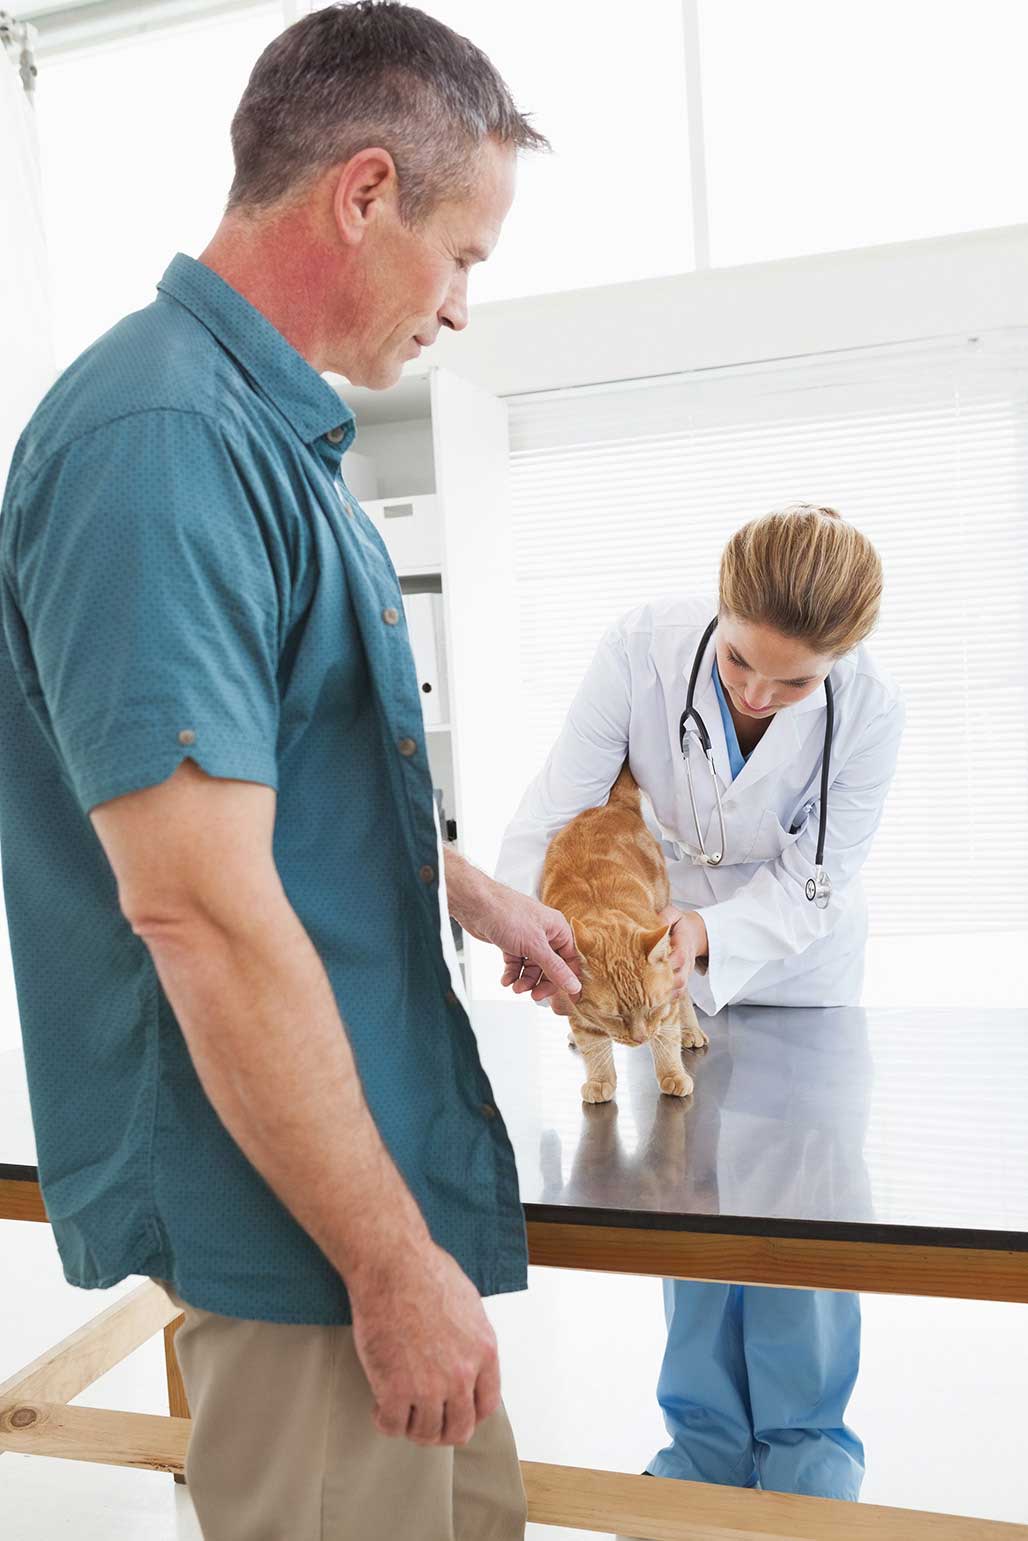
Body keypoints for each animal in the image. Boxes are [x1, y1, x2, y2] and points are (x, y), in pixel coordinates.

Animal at [539, 764, 708, 1103]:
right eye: (616, 1017)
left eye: (652, 1008)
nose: (640, 1038)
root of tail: (614, 806)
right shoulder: (576, 1005)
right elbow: (593, 1045)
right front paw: (600, 1079)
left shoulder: (667, 1001)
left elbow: (668, 1036)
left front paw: (673, 1074)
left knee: (684, 997)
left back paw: (691, 1031)